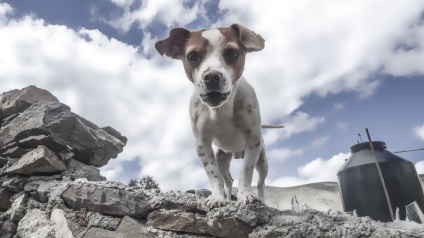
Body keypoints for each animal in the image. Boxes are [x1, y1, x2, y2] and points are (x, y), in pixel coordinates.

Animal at [155, 23, 268, 207]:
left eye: (232, 53)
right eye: (192, 56)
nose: (212, 76)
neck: (220, 110)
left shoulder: (253, 140)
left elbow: (246, 171)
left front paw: (244, 195)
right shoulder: (202, 144)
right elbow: (214, 175)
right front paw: (217, 198)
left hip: (263, 160)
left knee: (260, 183)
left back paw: (262, 199)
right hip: (222, 158)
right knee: (228, 180)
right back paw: (227, 198)